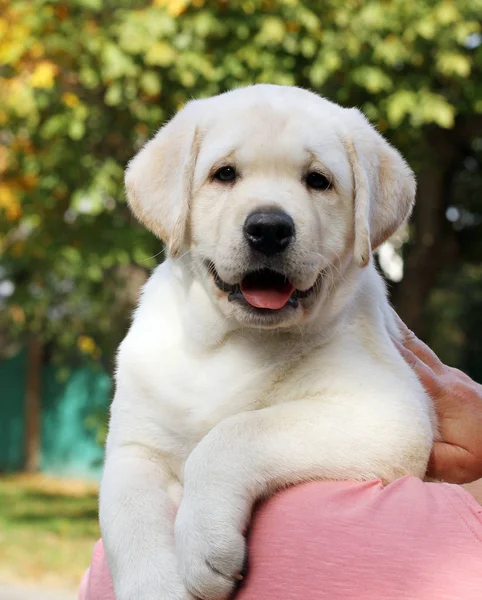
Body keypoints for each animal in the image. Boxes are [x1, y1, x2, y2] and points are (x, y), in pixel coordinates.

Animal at [100, 85, 434, 600]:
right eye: (224, 174)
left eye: (318, 181)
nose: (270, 228)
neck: (233, 340)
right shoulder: (134, 447)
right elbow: (127, 520)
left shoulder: (391, 414)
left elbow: (235, 433)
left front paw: (203, 540)